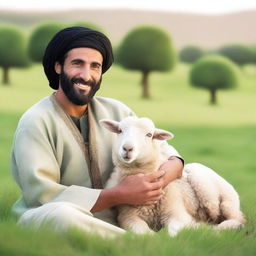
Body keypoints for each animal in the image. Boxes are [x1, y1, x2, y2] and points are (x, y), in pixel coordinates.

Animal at [99, 116, 245, 236]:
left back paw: (220, 228)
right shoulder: (128, 217)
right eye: (119, 131)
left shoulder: (176, 213)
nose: (127, 149)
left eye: (149, 134)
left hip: (217, 196)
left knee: (237, 218)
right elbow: (145, 234)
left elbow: (172, 233)